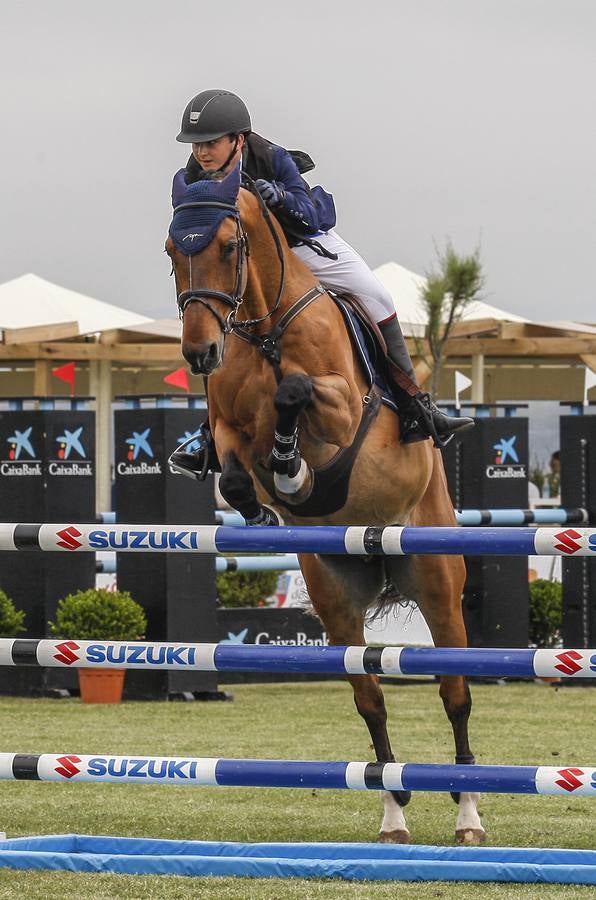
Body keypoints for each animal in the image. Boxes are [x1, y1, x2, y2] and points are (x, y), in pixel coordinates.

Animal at [164, 165, 484, 848]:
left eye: (227, 246)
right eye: (173, 250)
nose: (200, 354)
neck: (264, 331)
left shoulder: (342, 409)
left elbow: (296, 390)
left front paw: (292, 467)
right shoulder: (226, 428)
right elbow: (235, 471)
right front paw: (271, 497)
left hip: (438, 583)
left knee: (455, 692)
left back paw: (469, 812)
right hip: (337, 599)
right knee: (370, 698)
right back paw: (393, 814)